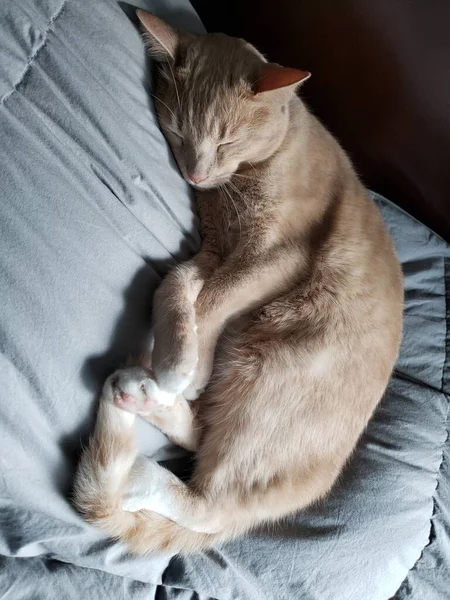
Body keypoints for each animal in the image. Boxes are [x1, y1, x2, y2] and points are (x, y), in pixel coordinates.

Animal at [72, 8, 402, 552]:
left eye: (225, 139)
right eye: (177, 130)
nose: (196, 173)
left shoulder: (274, 257)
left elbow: (212, 303)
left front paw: (185, 369)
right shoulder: (214, 252)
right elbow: (176, 289)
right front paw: (178, 357)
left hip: (265, 377)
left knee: (209, 503)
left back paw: (143, 466)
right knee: (201, 437)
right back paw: (141, 396)